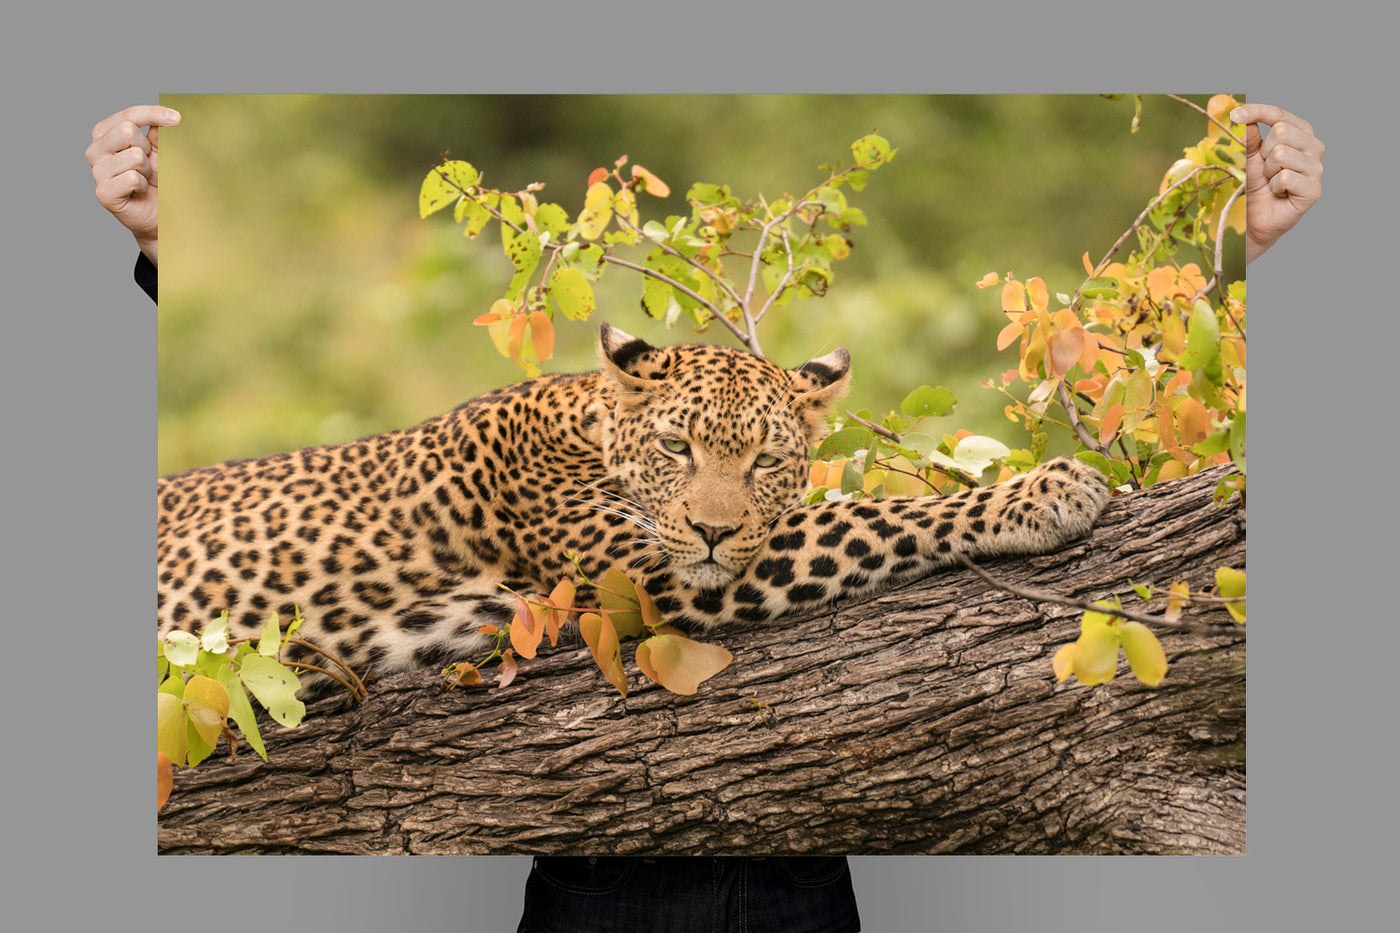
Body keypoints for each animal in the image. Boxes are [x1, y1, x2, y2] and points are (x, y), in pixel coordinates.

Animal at [158, 323, 1108, 680]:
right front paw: (1047, 491)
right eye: (676, 447)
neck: (585, 426)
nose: (717, 528)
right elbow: (865, 516)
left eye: (766, 459)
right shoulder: (654, 572)